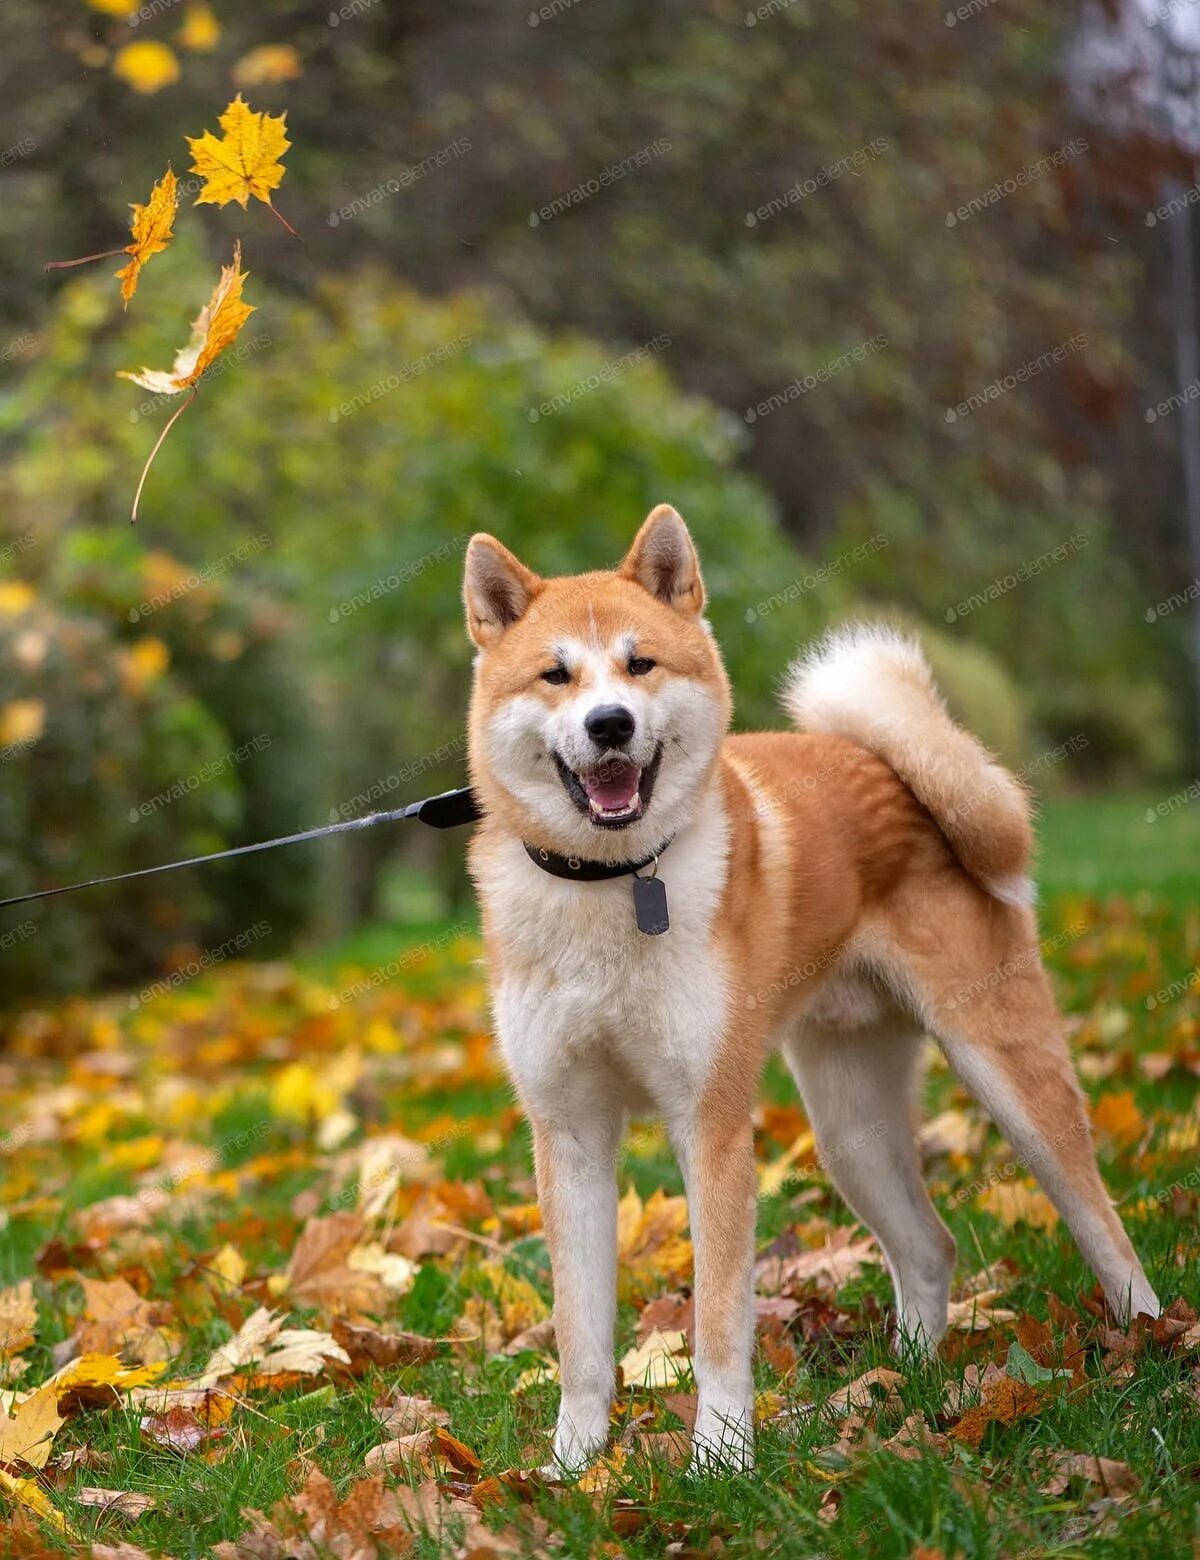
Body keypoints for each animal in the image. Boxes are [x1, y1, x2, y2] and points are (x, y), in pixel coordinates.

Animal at [458, 505, 1148, 1466]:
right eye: (555, 674)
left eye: (641, 665)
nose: (609, 725)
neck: (612, 885)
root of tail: (887, 767)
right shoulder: (569, 1133)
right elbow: (580, 1335)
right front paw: (571, 1467)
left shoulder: (709, 1125)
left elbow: (717, 1321)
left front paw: (720, 1460)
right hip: (849, 1129)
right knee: (929, 1249)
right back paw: (901, 1383)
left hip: (1010, 1080)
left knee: (1103, 1228)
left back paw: (1151, 1347)